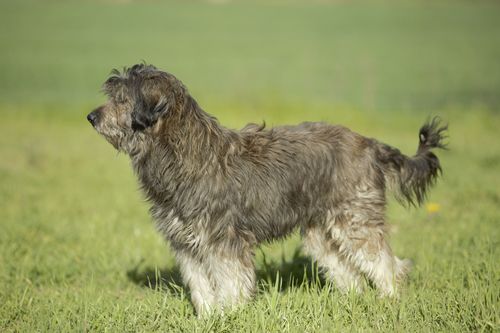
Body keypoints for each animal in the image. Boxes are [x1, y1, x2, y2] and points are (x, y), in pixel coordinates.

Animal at [87, 63, 450, 314]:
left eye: (122, 101)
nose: (91, 116)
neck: (181, 153)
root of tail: (370, 143)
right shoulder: (186, 243)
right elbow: (200, 284)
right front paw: (207, 316)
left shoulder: (223, 240)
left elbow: (230, 281)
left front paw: (229, 315)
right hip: (321, 232)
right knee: (347, 270)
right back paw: (353, 300)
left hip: (355, 219)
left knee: (387, 264)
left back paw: (389, 298)